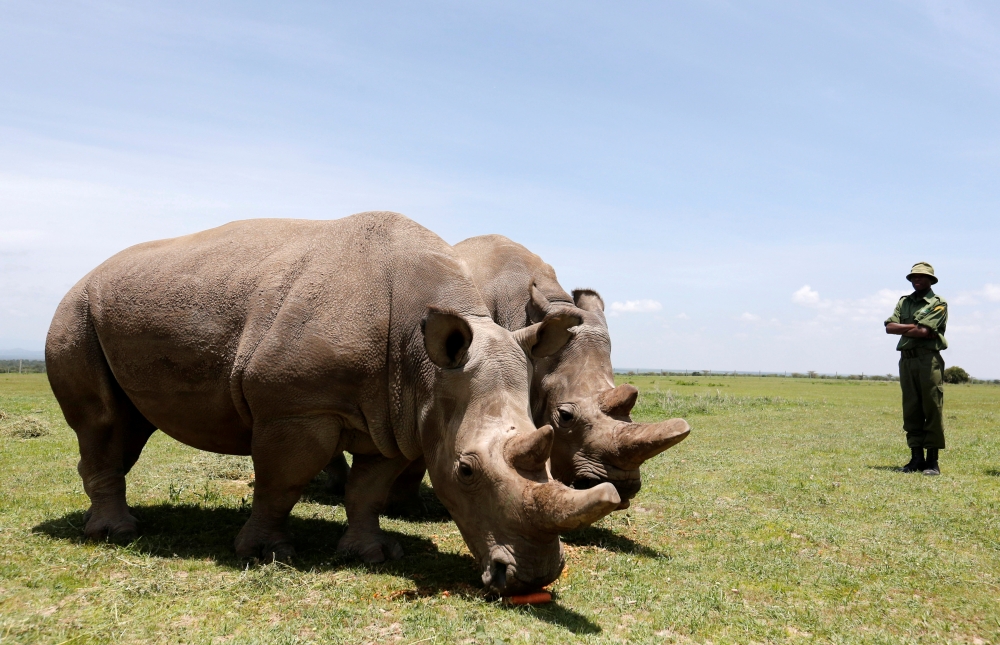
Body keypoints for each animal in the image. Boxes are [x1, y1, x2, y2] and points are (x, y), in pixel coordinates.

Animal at [50, 213, 624, 592]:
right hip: (76, 310)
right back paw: (117, 535)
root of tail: (87, 273)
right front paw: (268, 553)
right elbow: (280, 482)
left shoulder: (398, 415)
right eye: (465, 471)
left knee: (128, 424)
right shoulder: (295, 405)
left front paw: (373, 553)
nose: (533, 577)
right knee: (102, 422)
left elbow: (367, 490)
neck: (425, 361)